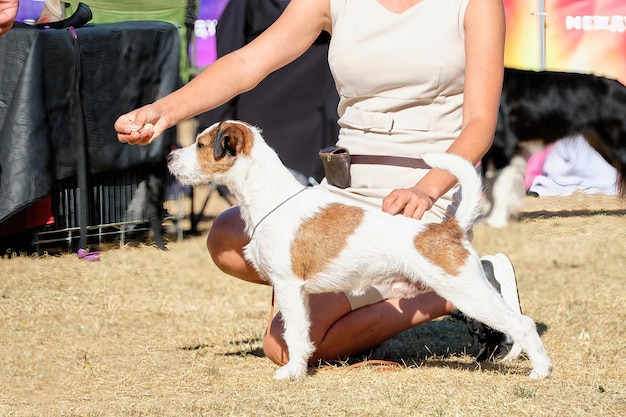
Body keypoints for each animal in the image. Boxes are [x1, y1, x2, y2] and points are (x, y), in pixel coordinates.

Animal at [166, 120, 552, 380]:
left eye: (200, 144)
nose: (169, 156)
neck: (270, 197)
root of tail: (445, 228)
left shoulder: (288, 286)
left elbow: (293, 334)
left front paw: (292, 372)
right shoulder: (299, 294)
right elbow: (303, 333)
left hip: (465, 290)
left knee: (521, 322)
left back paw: (540, 369)